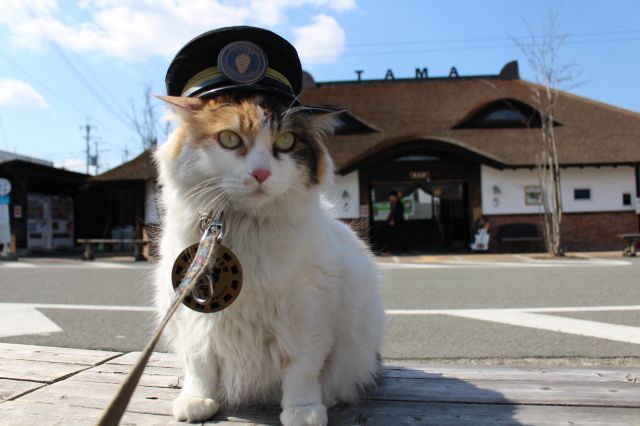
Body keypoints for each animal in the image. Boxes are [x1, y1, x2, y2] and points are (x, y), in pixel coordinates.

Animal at [154, 93, 384, 426]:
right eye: (229, 138)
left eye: (286, 141)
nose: (260, 173)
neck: (242, 230)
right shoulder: (193, 317)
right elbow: (200, 363)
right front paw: (198, 400)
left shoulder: (308, 315)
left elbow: (302, 371)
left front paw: (303, 411)